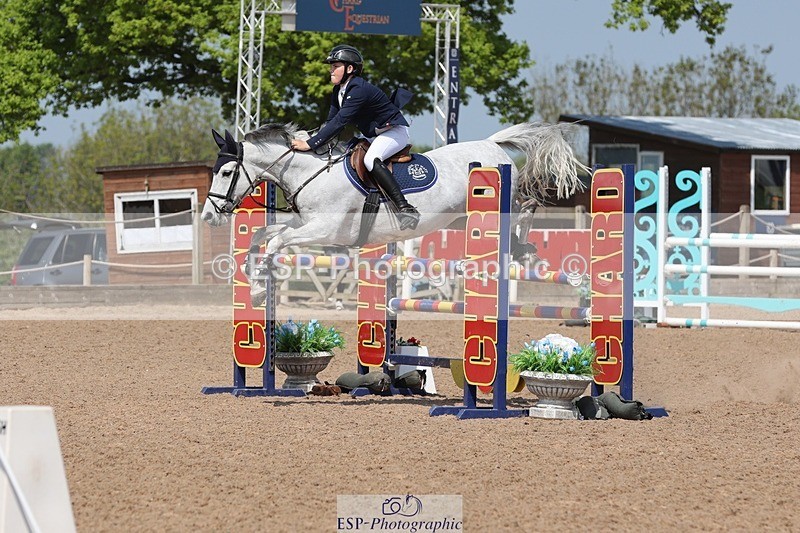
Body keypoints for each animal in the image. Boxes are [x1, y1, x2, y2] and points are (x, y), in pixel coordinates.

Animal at [201, 122, 587, 303]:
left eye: (226, 172)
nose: (209, 216)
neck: (311, 173)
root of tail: (491, 143)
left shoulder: (326, 230)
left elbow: (277, 243)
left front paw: (255, 289)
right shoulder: (304, 222)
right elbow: (263, 235)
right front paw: (254, 279)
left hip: (493, 200)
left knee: (526, 206)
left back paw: (522, 250)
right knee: (522, 211)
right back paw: (521, 250)